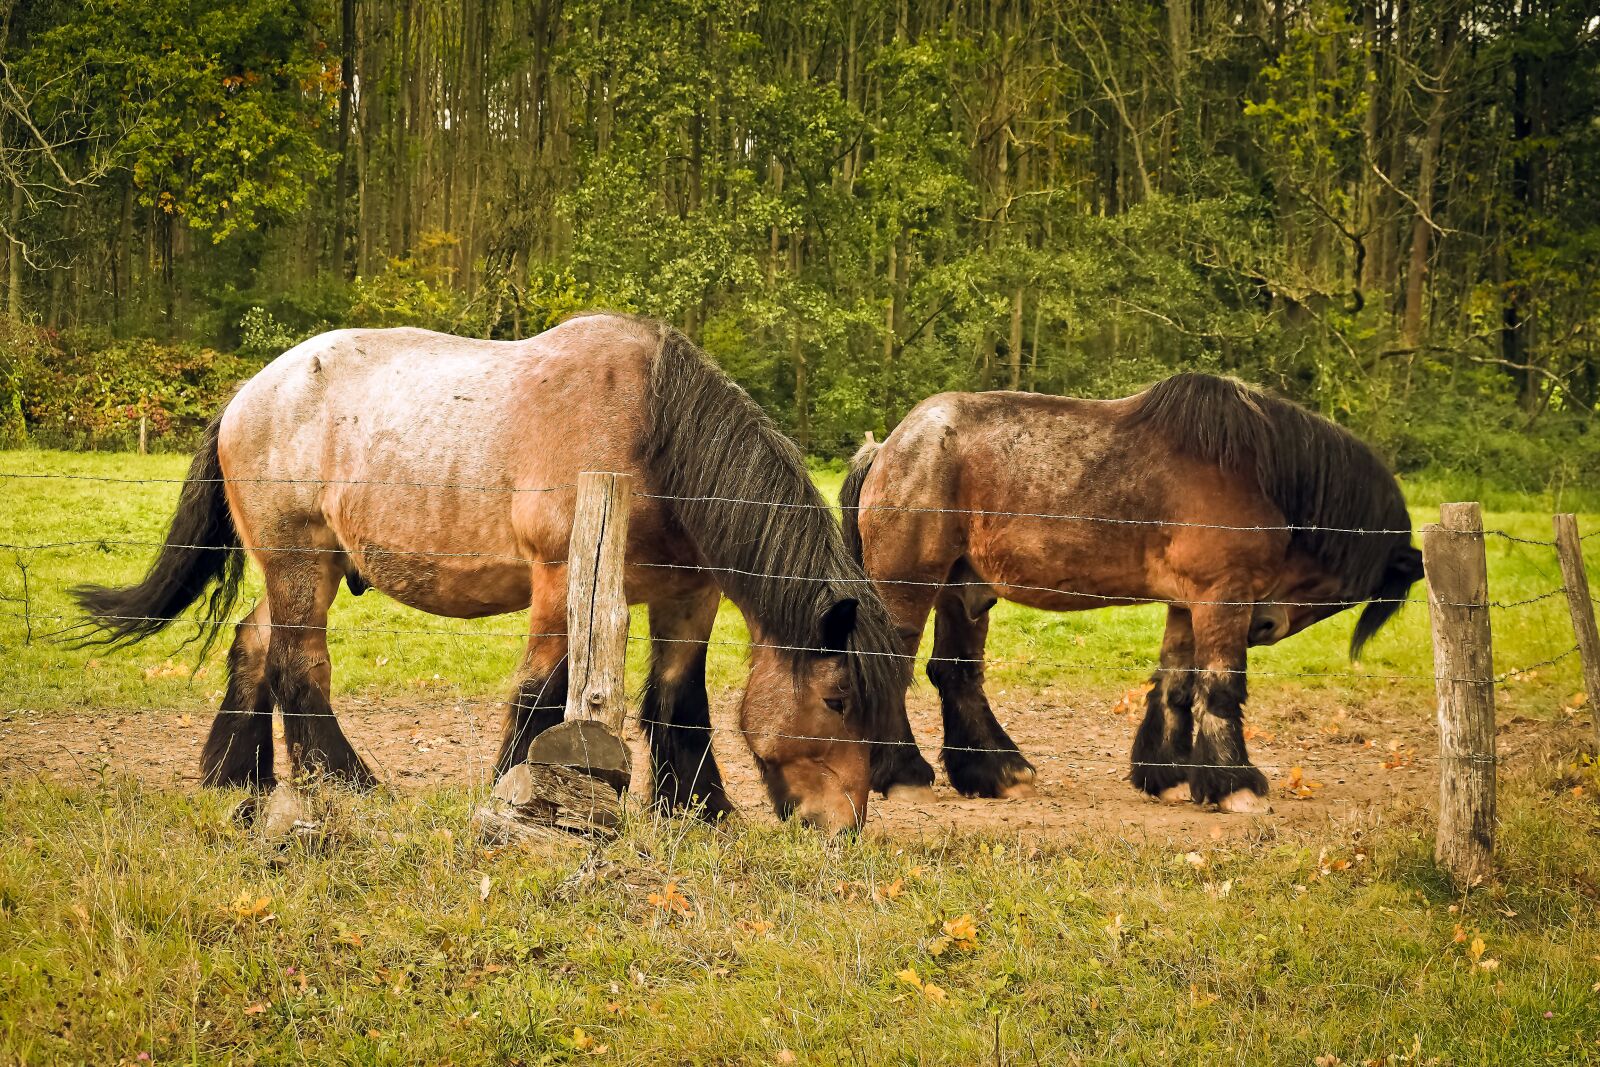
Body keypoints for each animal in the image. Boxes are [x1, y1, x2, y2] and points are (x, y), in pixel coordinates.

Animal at [72, 312, 935, 832]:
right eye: (837, 698)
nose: (841, 827)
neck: (653, 429)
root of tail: (247, 393)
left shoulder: (688, 596)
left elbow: (678, 702)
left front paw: (699, 809)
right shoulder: (561, 581)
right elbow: (537, 693)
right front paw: (515, 791)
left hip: (300, 567)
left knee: (255, 645)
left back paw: (239, 777)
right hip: (299, 560)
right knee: (298, 663)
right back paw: (345, 780)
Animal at [841, 373, 1423, 813]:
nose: (1264, 625)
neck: (1255, 474)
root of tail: (887, 447)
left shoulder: (1188, 604)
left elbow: (1177, 686)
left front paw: (1169, 775)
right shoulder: (1224, 598)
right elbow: (1221, 686)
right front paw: (1235, 784)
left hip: (964, 589)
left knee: (956, 672)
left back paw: (996, 771)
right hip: (911, 583)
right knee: (891, 666)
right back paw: (904, 773)